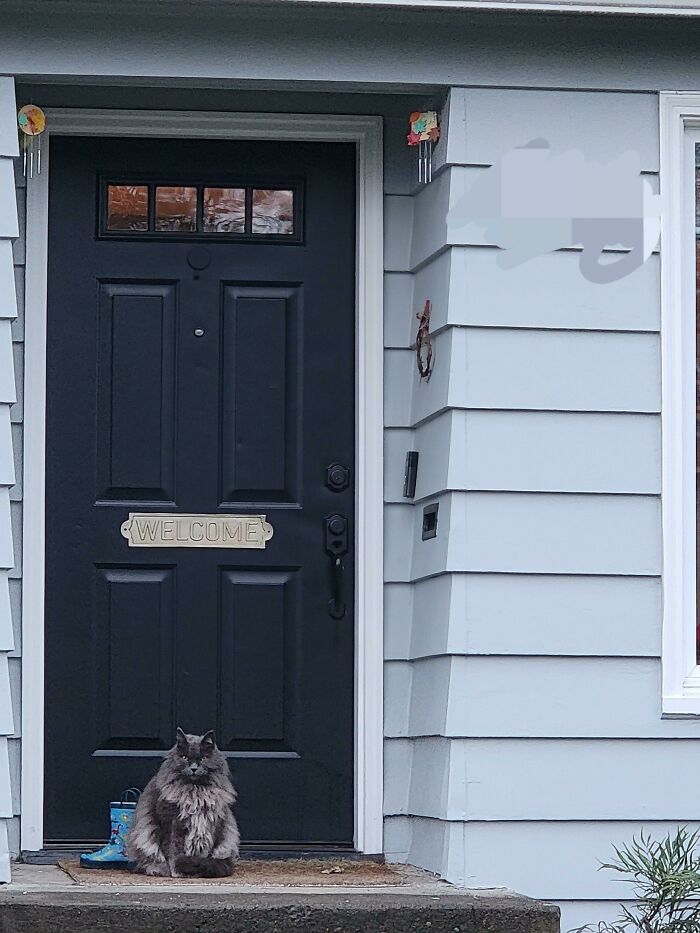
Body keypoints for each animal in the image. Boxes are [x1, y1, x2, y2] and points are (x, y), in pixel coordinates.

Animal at [127, 728, 242, 872]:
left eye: (203, 758)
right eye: (184, 758)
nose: (193, 769)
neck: (195, 791)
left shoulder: (210, 823)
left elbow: (204, 850)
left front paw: (194, 865)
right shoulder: (170, 822)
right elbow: (172, 850)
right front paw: (174, 871)